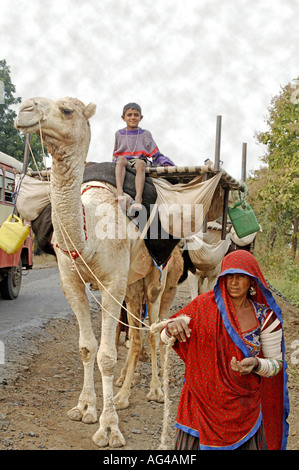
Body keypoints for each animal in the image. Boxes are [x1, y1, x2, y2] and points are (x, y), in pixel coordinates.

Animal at [15, 97, 182, 450]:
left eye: (66, 110)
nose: (25, 109)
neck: (88, 232)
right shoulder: (72, 284)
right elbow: (86, 347)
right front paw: (85, 408)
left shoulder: (110, 285)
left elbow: (106, 354)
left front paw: (109, 429)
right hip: (132, 285)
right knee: (136, 336)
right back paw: (122, 394)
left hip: (159, 279)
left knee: (153, 331)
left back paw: (154, 391)